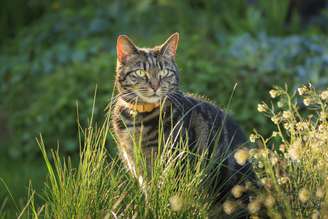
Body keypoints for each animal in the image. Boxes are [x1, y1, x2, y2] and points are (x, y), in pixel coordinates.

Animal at [112, 32, 254, 217]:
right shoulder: (138, 168)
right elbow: (150, 197)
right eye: (141, 72)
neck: (139, 119)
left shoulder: (174, 164)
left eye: (164, 71)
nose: (155, 86)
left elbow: (166, 198)